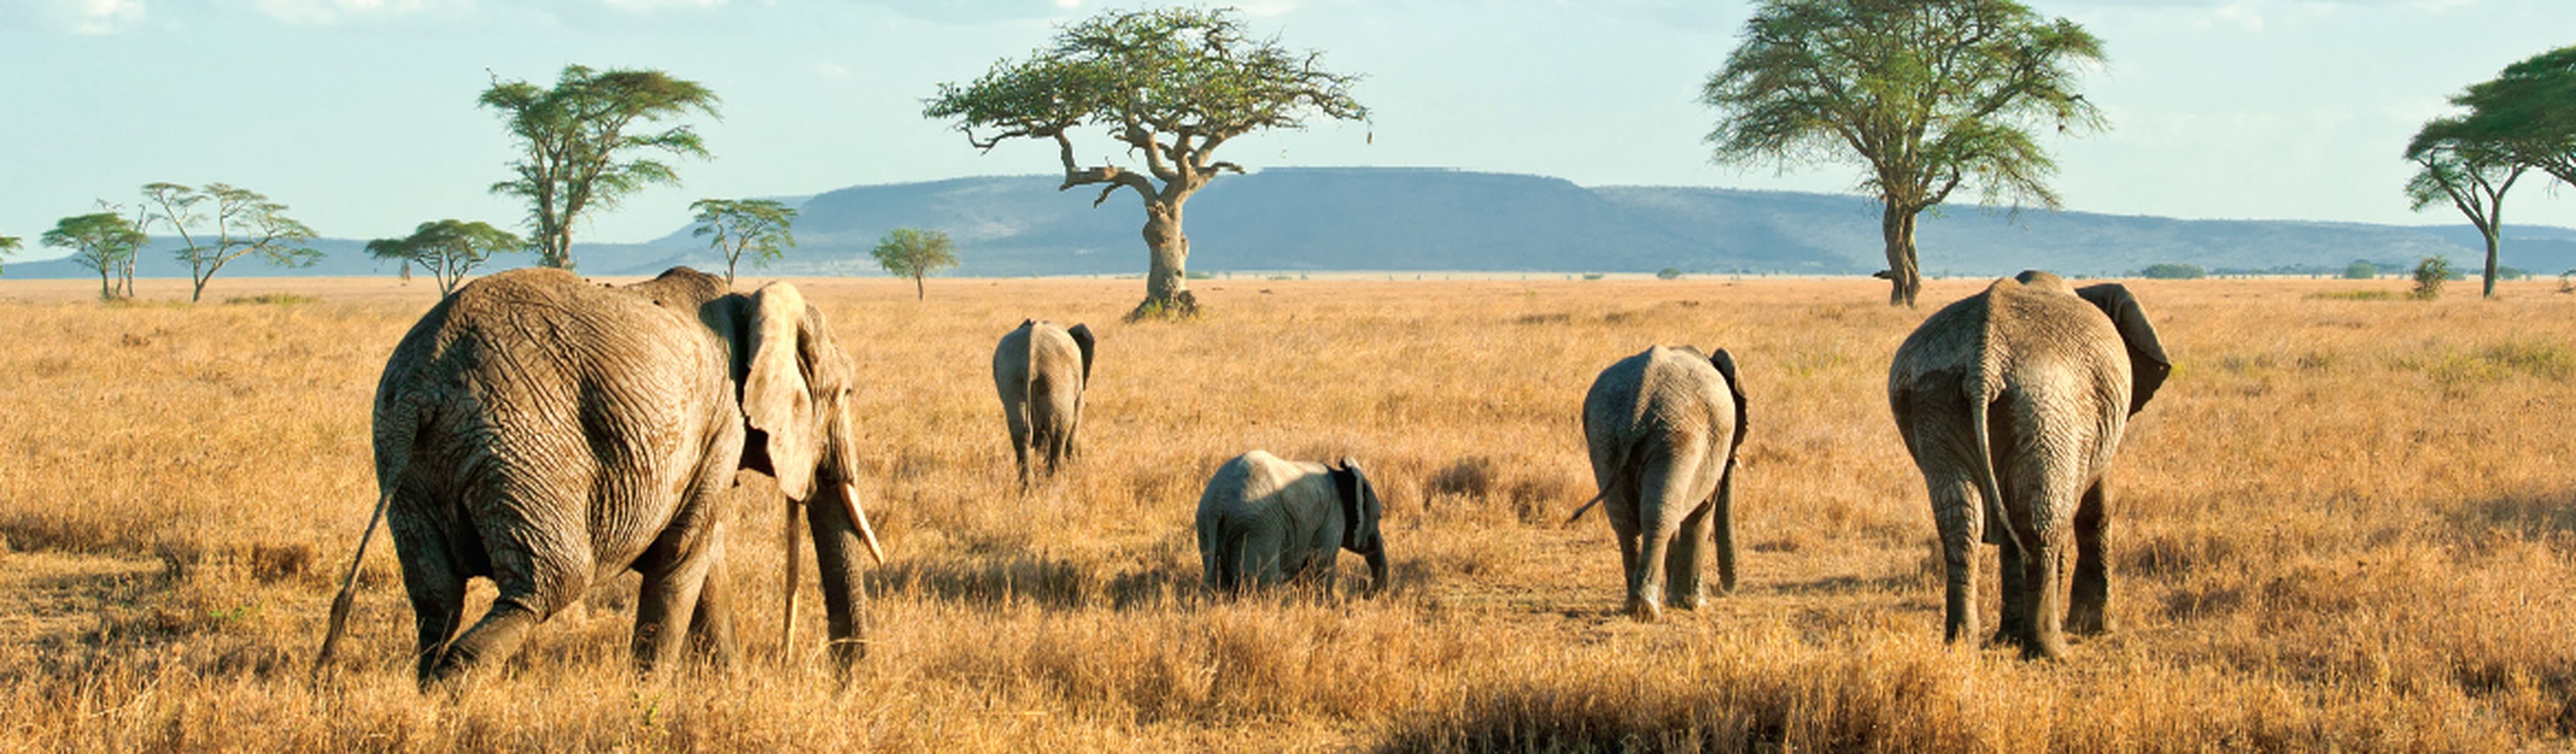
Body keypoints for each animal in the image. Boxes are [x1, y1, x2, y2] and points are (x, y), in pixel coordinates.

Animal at [989, 315, 1092, 481]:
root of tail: (1032, 347)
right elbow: (1076, 419)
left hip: (1011, 374)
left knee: (1020, 429)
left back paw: (1027, 485)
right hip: (1057, 377)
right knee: (1058, 428)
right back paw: (1055, 480)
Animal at [1190, 450, 1390, 597]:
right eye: (1380, 516)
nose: (1366, 591)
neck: (1344, 475)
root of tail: (1218, 502)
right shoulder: (1332, 517)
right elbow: (1321, 561)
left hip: (1207, 526)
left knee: (1218, 576)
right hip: (1259, 527)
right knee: (1260, 580)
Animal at [1566, 342, 1751, 620]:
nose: (1720, 588)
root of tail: (1639, 400)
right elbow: (1702, 512)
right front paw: (1693, 604)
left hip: (1605, 433)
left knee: (1625, 520)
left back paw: (1634, 606)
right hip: (1677, 437)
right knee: (1659, 516)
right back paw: (1646, 610)